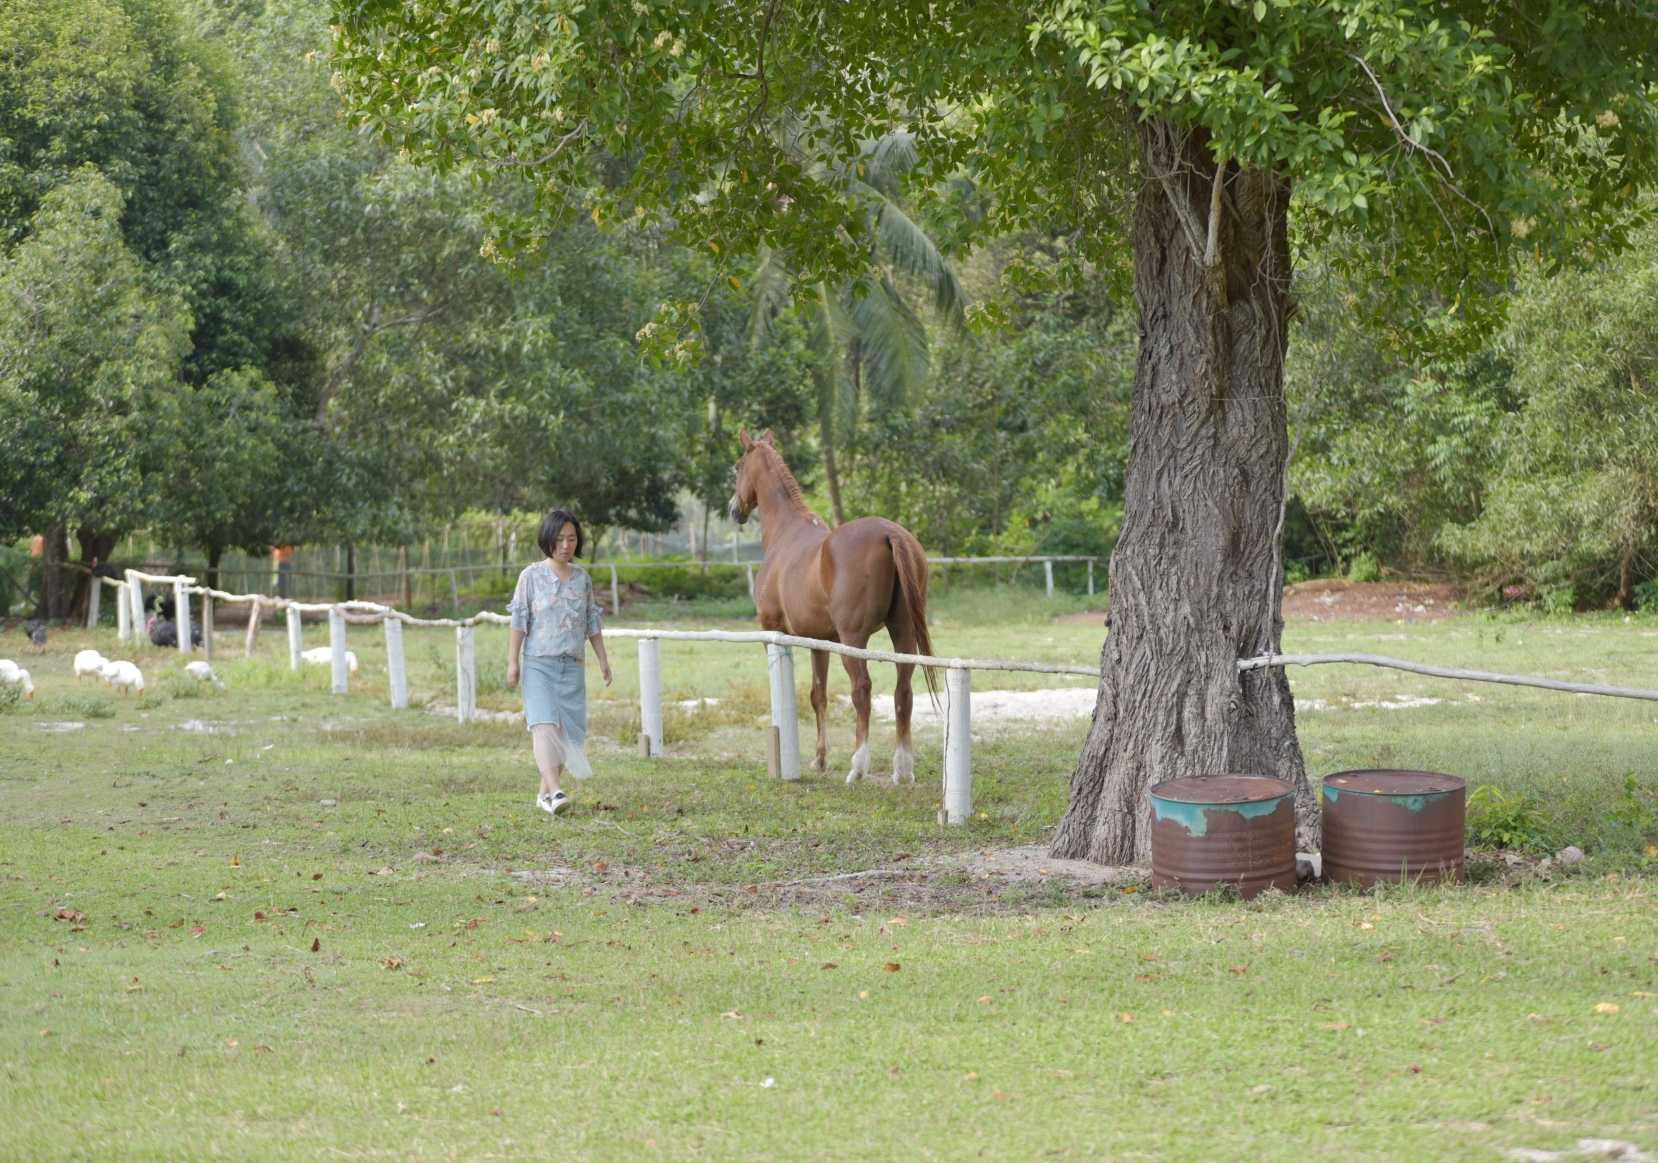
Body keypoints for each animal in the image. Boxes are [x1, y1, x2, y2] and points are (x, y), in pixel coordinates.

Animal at [732, 431, 941, 786]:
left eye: (737, 466)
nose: (734, 508)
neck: (786, 532)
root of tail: (890, 533)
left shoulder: (773, 632)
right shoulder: (819, 642)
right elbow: (819, 695)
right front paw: (820, 757)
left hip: (854, 641)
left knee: (862, 690)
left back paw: (858, 766)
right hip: (903, 633)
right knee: (903, 691)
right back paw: (903, 769)